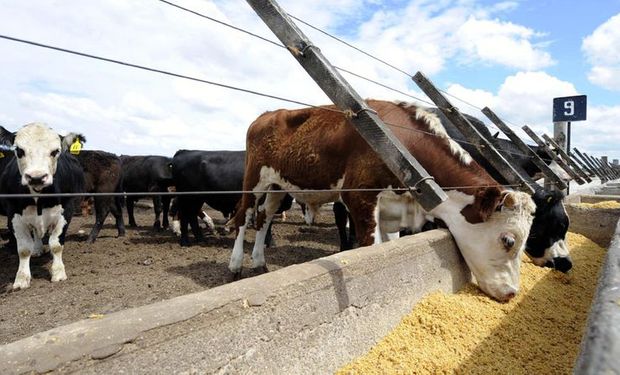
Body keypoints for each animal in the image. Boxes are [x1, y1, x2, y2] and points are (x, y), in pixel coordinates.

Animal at [0, 123, 85, 290]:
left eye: (56, 151)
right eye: (19, 150)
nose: (36, 177)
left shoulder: (67, 210)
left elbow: (56, 244)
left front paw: (58, 273)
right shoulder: (14, 214)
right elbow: (24, 249)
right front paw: (21, 278)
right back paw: (38, 249)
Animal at [230, 100, 536, 302]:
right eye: (508, 240)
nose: (512, 293)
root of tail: (267, 114)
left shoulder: (392, 209)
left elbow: (389, 246)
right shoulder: (359, 198)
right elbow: (370, 247)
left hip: (277, 186)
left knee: (264, 217)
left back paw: (259, 262)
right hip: (254, 178)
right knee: (245, 216)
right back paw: (235, 265)